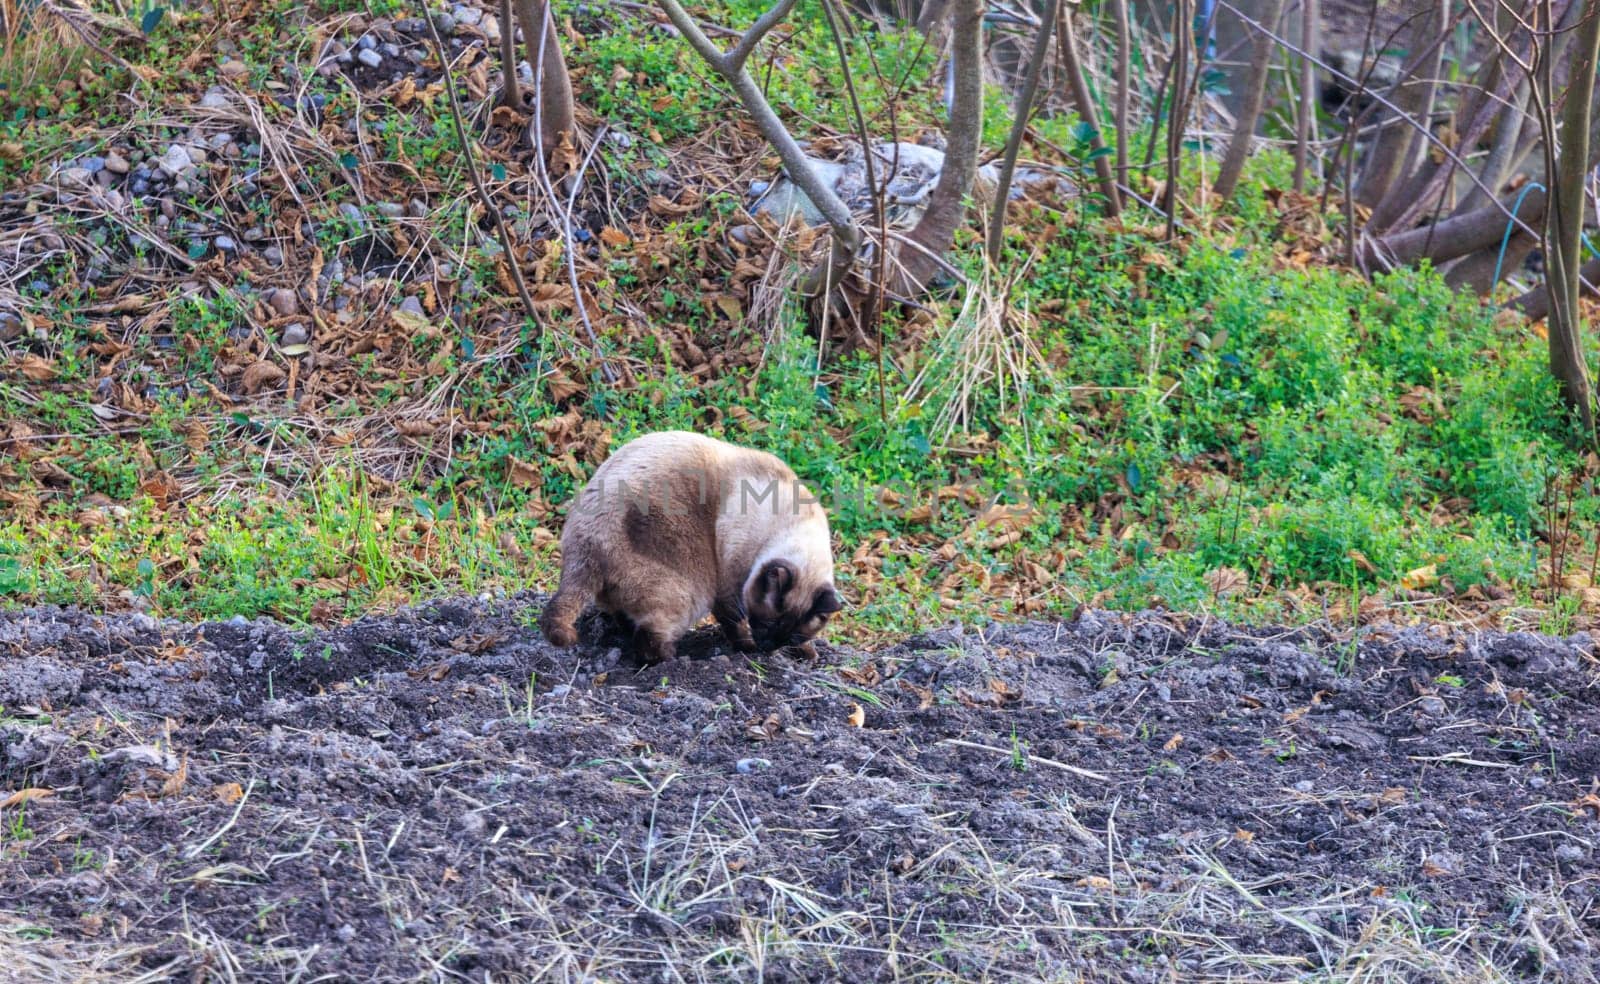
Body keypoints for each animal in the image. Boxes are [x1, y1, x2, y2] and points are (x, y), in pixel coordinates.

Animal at [540, 428, 844, 662]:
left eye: (790, 636)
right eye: (768, 623)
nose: (767, 648)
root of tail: (585, 541)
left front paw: (806, 653)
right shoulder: (728, 587)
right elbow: (734, 622)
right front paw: (746, 647)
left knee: (624, 618)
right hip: (693, 592)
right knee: (648, 642)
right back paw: (674, 659)